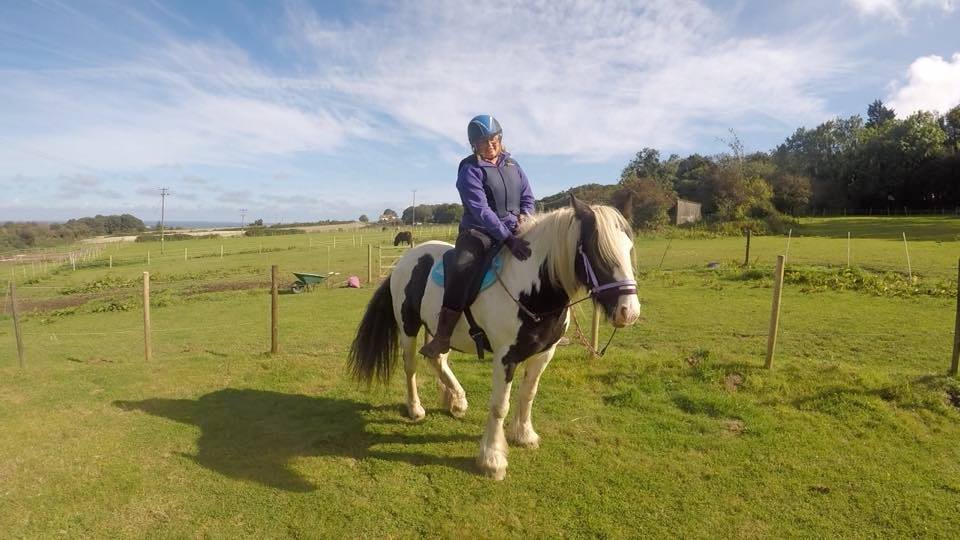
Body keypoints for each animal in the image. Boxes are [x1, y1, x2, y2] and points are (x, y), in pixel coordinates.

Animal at [348, 195, 640, 480]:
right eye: (597, 252)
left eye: (628, 248)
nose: (629, 312)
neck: (531, 288)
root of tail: (406, 260)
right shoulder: (505, 358)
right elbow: (500, 405)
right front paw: (492, 459)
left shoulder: (544, 354)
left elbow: (528, 394)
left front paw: (524, 435)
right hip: (408, 326)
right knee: (411, 367)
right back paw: (416, 409)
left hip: (439, 331)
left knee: (437, 359)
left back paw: (456, 401)